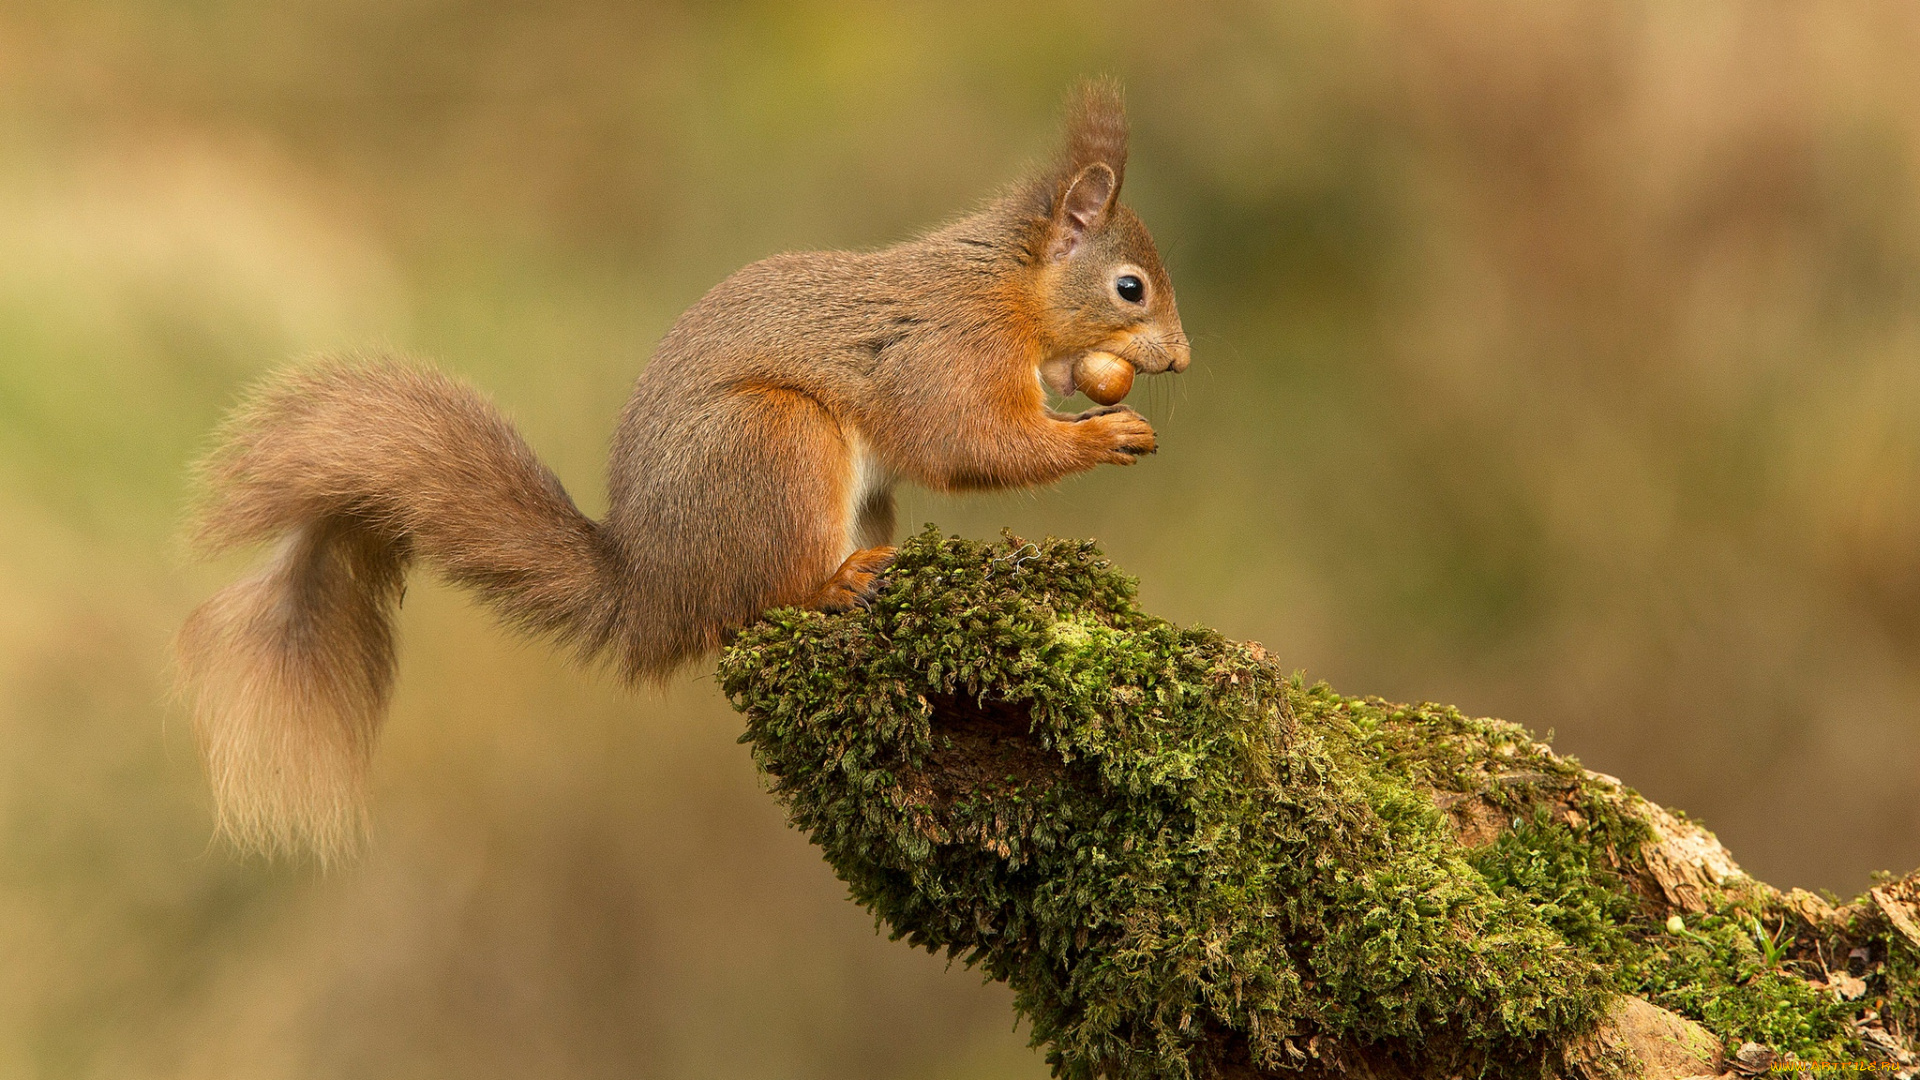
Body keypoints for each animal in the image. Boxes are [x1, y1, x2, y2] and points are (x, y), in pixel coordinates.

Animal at [176, 79, 1182, 857]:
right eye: (1130, 287)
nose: (1180, 358)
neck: (1004, 289)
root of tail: (651, 590)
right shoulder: (946, 355)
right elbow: (970, 444)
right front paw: (1107, 435)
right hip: (776, 443)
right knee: (758, 603)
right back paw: (832, 584)